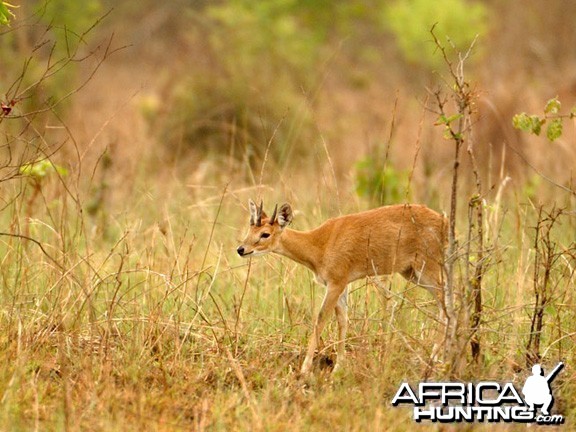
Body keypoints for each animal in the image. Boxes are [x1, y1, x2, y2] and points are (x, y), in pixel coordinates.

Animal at [236, 200, 448, 374]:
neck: (319, 245)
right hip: (411, 273)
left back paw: (434, 356)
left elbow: (320, 319)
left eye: (265, 234)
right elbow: (343, 321)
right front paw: (339, 366)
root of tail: (443, 221)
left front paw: (305, 368)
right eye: (250, 229)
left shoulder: (335, 283)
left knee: (445, 303)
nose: (241, 249)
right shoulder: (343, 284)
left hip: (427, 268)